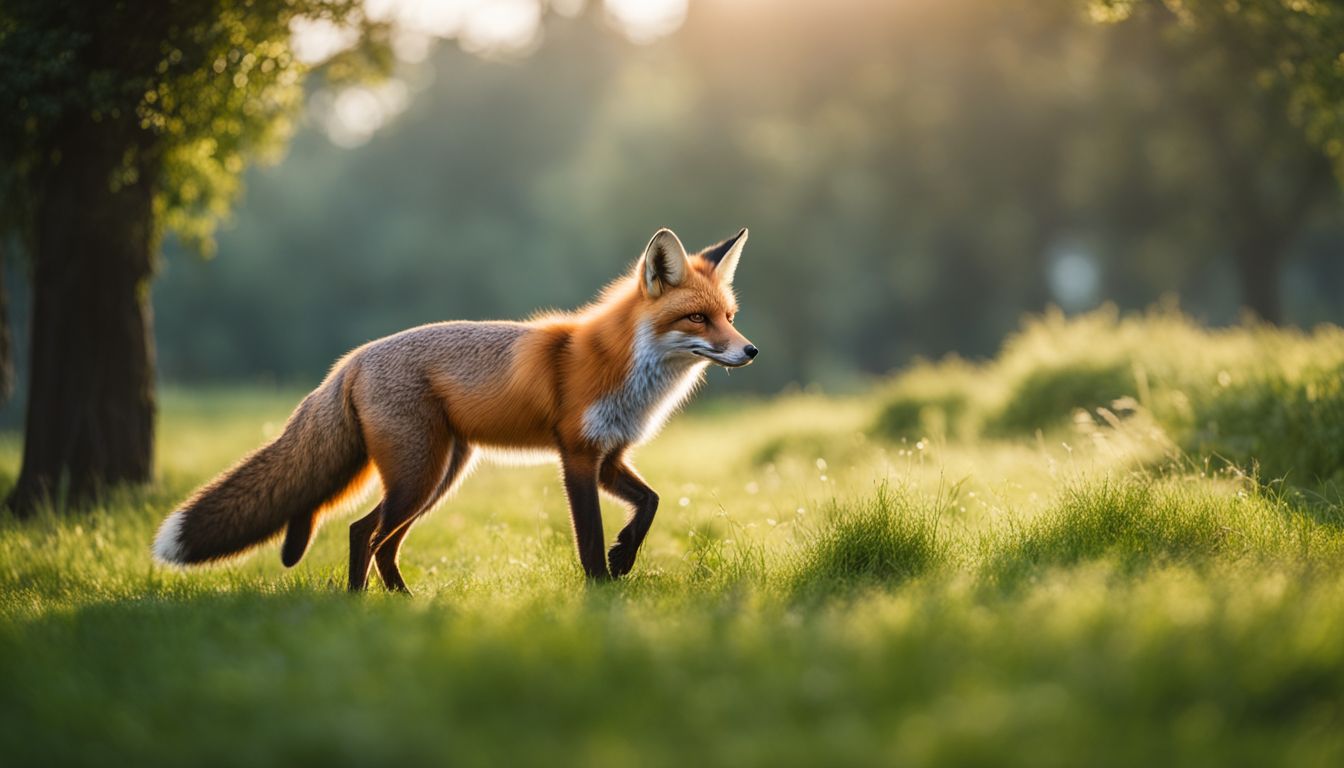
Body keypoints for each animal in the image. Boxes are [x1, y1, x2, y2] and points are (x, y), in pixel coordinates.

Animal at [154, 225, 758, 591]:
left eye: (728, 316)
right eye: (698, 319)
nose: (750, 350)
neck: (627, 370)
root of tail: (351, 361)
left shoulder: (609, 456)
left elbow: (651, 503)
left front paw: (624, 557)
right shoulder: (578, 455)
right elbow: (587, 533)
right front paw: (601, 588)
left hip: (438, 476)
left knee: (377, 539)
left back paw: (396, 601)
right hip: (418, 476)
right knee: (363, 533)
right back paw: (358, 604)